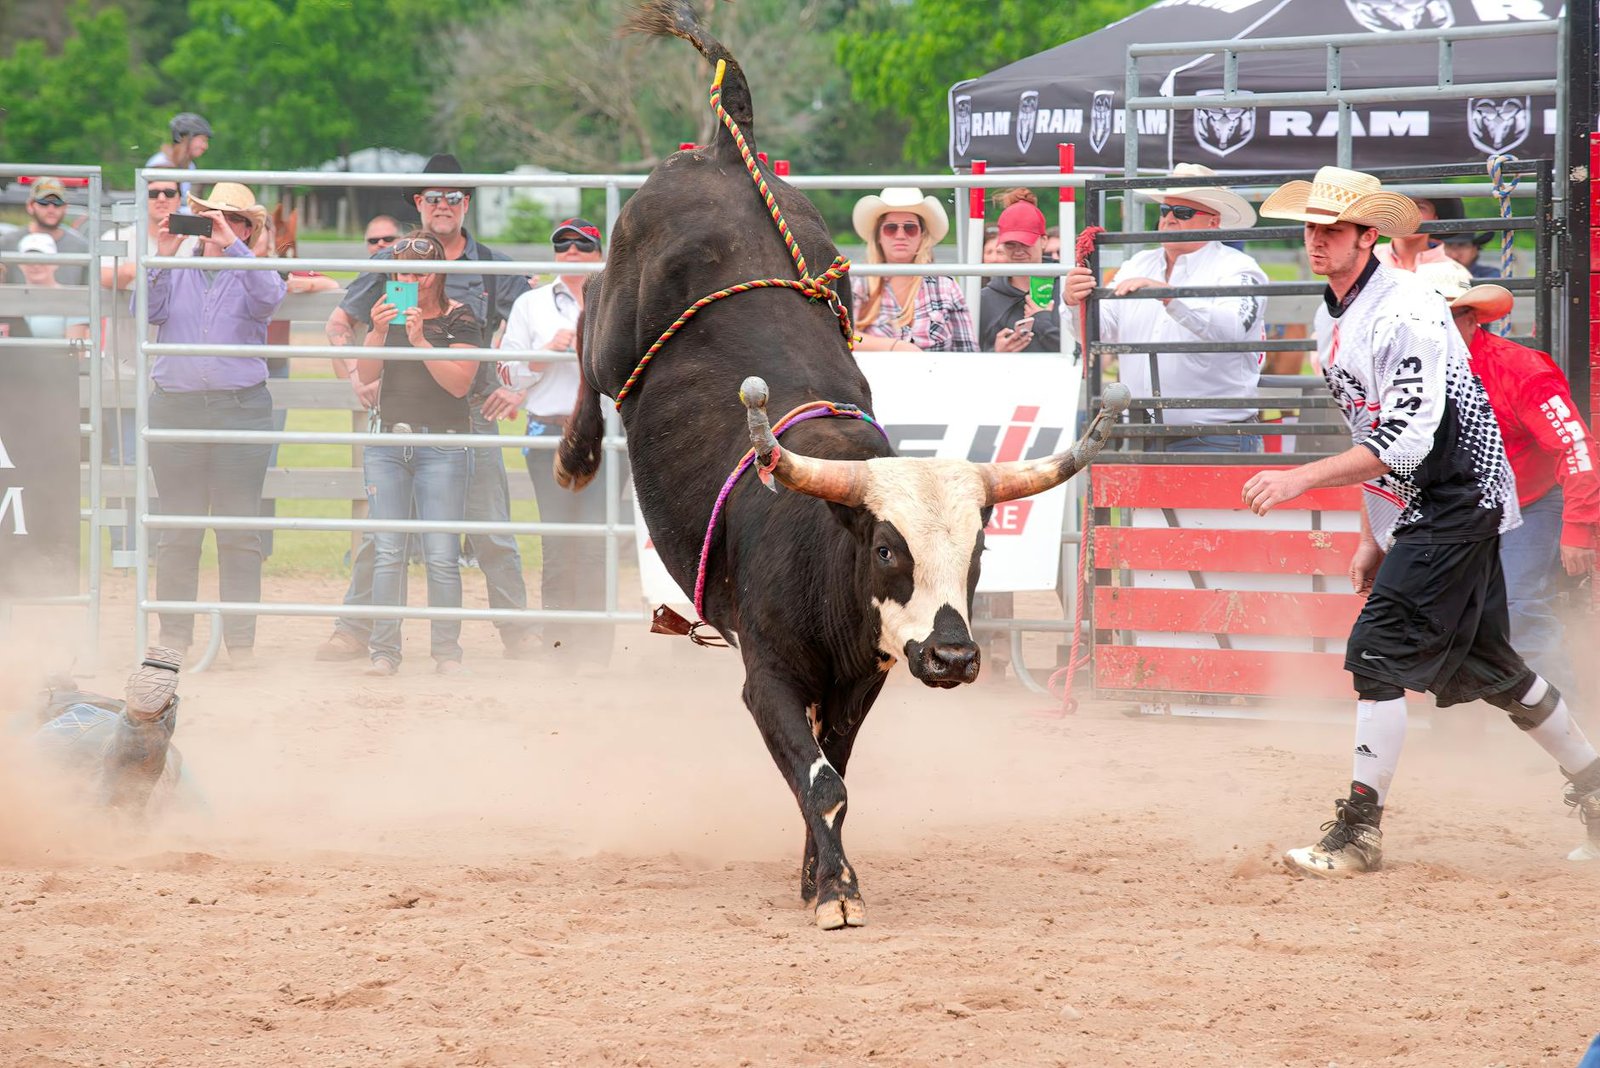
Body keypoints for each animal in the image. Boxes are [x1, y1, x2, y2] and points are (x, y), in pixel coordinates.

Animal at [557, 0, 1128, 930]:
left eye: (979, 551)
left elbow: (833, 774)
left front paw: (815, 872)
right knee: (582, 330)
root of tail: (727, 153)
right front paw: (835, 890)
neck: (823, 546)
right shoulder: (768, 678)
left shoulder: (863, 679)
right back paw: (572, 455)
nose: (954, 658)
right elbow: (820, 781)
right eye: (888, 549)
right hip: (614, 330)